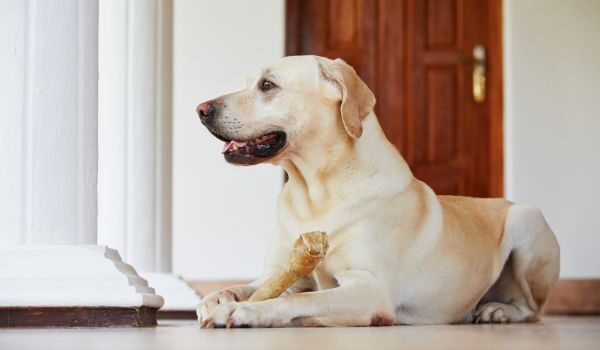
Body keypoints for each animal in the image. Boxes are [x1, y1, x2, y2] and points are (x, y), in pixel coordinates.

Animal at [195, 56, 560, 326]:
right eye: (250, 82)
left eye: (267, 85)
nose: (201, 109)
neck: (316, 192)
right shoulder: (281, 272)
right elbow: (248, 287)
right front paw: (216, 299)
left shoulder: (369, 289)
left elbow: (303, 298)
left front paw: (248, 310)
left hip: (526, 219)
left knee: (533, 309)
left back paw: (499, 311)